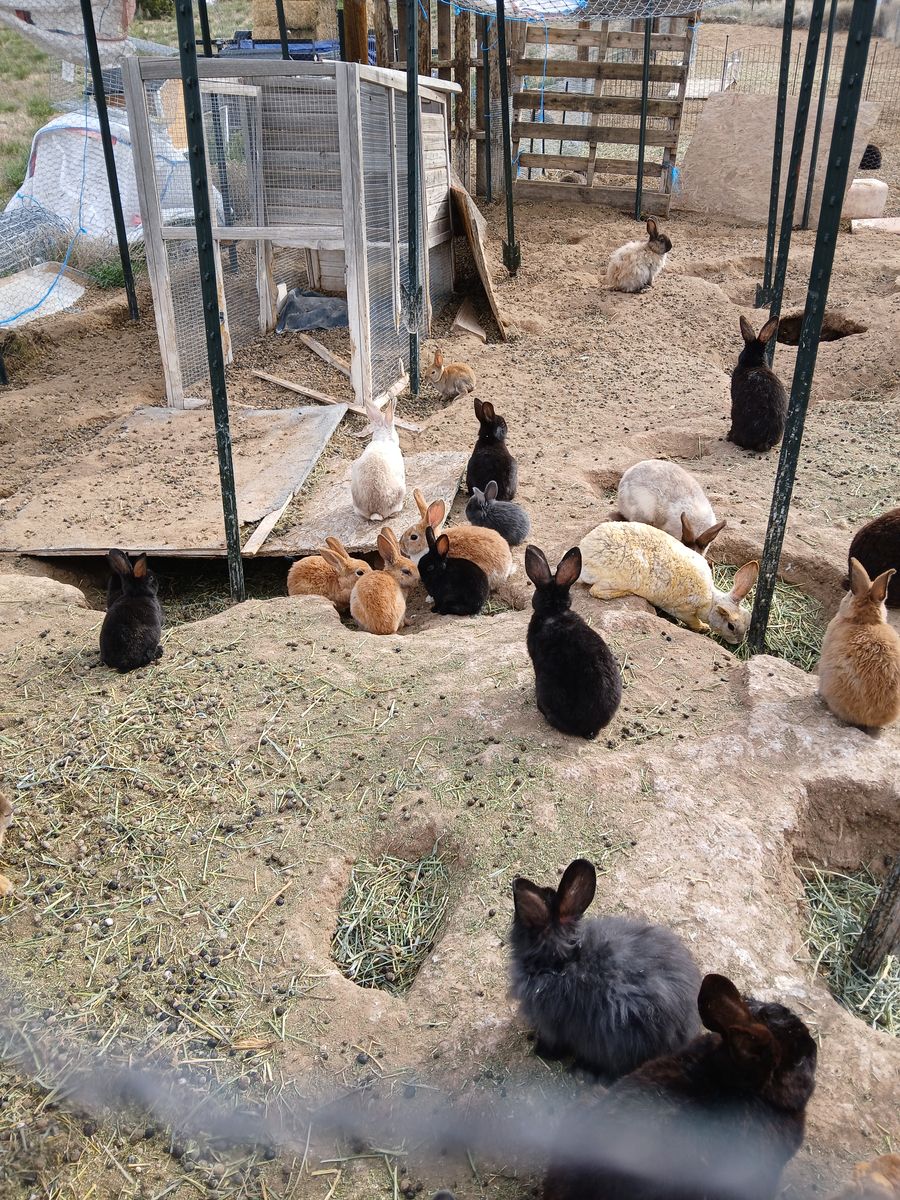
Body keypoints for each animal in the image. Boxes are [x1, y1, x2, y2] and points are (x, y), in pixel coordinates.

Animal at [579, 520, 758, 645]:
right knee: (595, 591)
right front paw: (703, 628)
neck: (710, 602)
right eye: (731, 626)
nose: (738, 642)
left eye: (748, 619)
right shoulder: (684, 611)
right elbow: (692, 621)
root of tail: (584, 554)